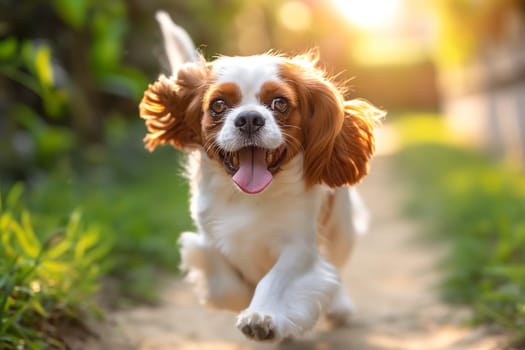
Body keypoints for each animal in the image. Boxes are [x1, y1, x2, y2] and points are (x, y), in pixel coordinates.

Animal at [139, 11, 382, 342]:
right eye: (218, 105)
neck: (249, 197)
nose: (250, 118)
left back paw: (338, 305)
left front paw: (262, 316)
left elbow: (277, 278)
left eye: (279, 103)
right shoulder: (209, 235)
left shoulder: (299, 246)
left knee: (336, 266)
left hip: (341, 229)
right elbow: (219, 276)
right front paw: (245, 298)